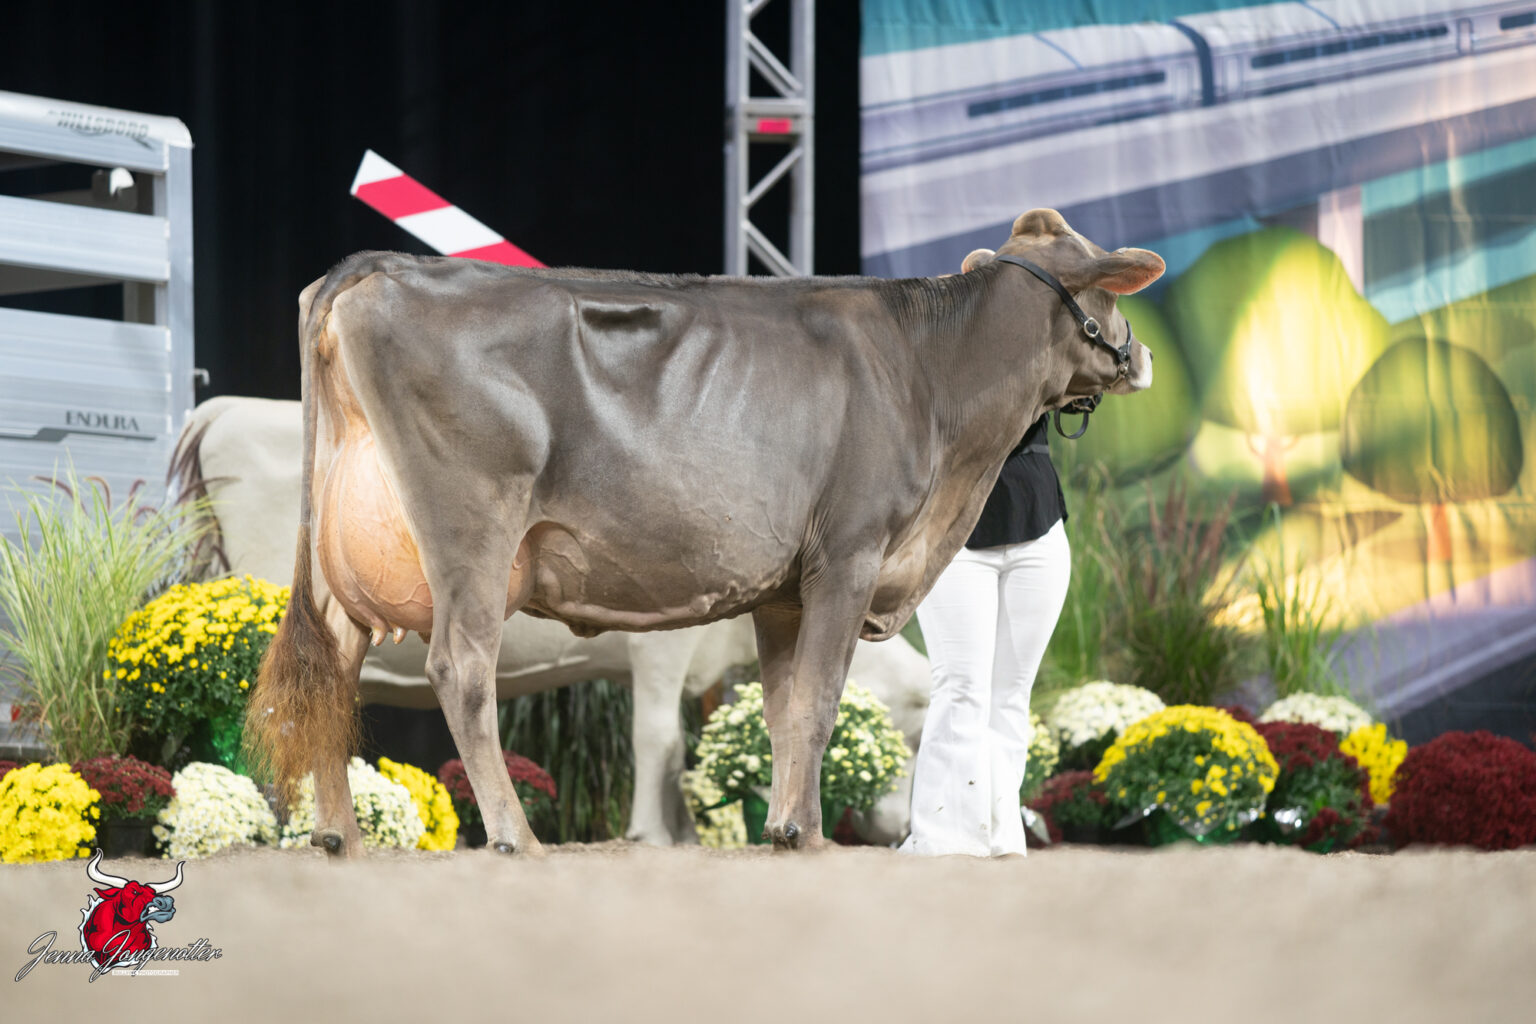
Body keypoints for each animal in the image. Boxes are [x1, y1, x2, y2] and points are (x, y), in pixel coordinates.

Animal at [172, 396, 932, 845]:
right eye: (912, 735)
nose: (899, 830)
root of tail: (224, 408)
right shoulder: (663, 649)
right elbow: (659, 740)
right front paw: (651, 836)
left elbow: (675, 753)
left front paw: (685, 833)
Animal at [248, 207, 1161, 856]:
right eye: (1114, 293)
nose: (1141, 357)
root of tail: (384, 266)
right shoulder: (850, 553)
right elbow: (822, 703)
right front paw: (810, 832)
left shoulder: (786, 587)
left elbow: (784, 710)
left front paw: (783, 828)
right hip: (472, 529)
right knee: (460, 669)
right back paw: (515, 836)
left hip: (343, 544)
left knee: (333, 667)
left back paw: (340, 835)